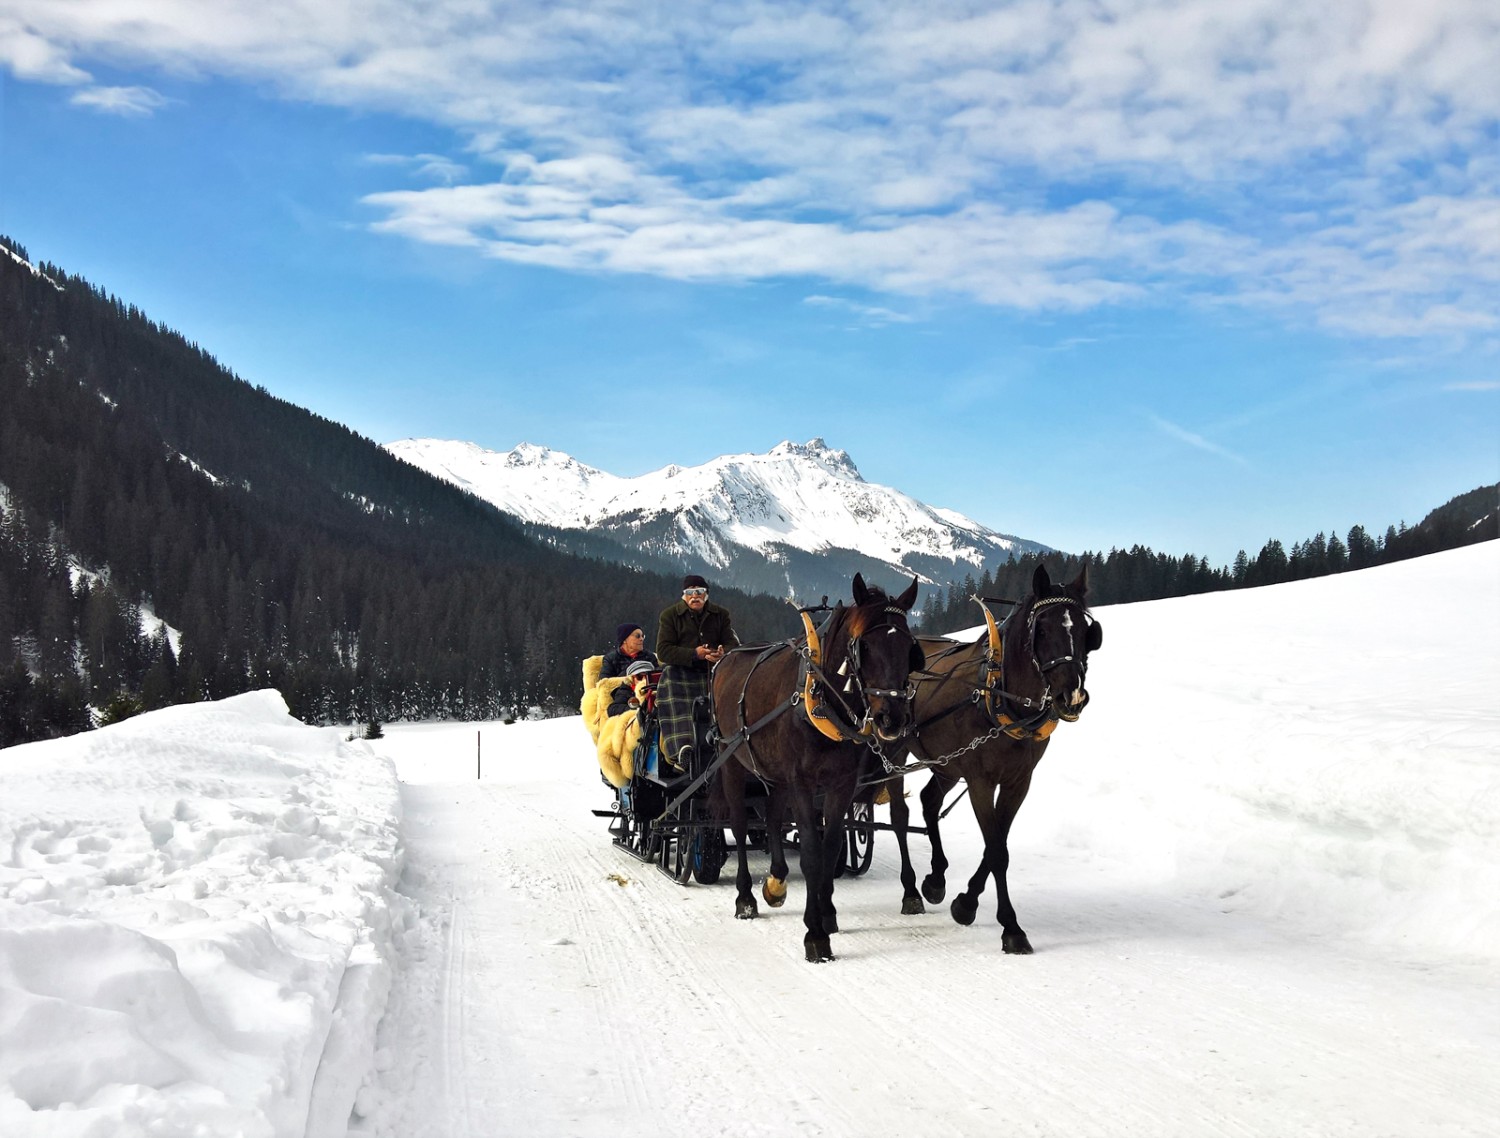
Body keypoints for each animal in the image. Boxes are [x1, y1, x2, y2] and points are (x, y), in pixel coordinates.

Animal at [708, 578, 918, 959]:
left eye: (910, 646)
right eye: (865, 645)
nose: (892, 718)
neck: (822, 700)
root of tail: (726, 658)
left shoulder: (841, 784)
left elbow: (830, 847)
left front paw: (827, 914)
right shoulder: (802, 783)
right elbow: (809, 853)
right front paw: (815, 934)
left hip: (774, 773)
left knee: (772, 817)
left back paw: (776, 880)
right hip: (732, 761)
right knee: (741, 824)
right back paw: (745, 898)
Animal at [876, 566, 1104, 953]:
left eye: (1087, 632)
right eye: (1042, 629)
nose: (1071, 696)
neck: (1001, 699)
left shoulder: (1017, 782)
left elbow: (997, 844)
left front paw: (965, 902)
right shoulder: (980, 781)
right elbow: (997, 850)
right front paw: (1010, 927)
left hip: (946, 763)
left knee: (929, 801)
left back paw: (935, 879)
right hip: (895, 749)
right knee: (900, 815)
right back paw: (911, 890)